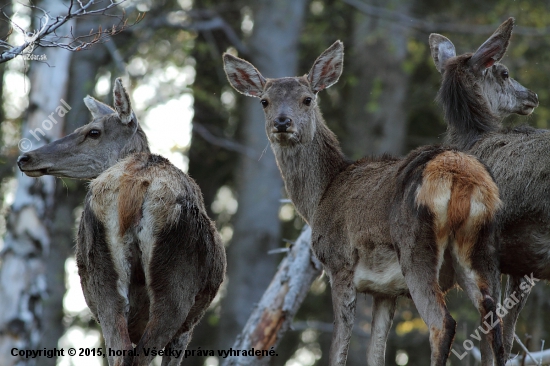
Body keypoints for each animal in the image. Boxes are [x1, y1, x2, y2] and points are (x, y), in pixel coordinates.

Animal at [17, 78, 226, 364]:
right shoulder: (188, 328)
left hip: (99, 276)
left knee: (120, 349)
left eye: (93, 132)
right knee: (141, 352)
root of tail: (136, 182)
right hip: (177, 281)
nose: (24, 158)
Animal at [224, 40, 508, 366]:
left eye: (307, 99)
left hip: (416, 248)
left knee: (443, 322)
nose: (282, 123)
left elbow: (338, 349)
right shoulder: (385, 291)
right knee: (494, 321)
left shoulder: (339, 264)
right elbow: (376, 352)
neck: (321, 195)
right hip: (484, 249)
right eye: (264, 101)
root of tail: (460, 177)